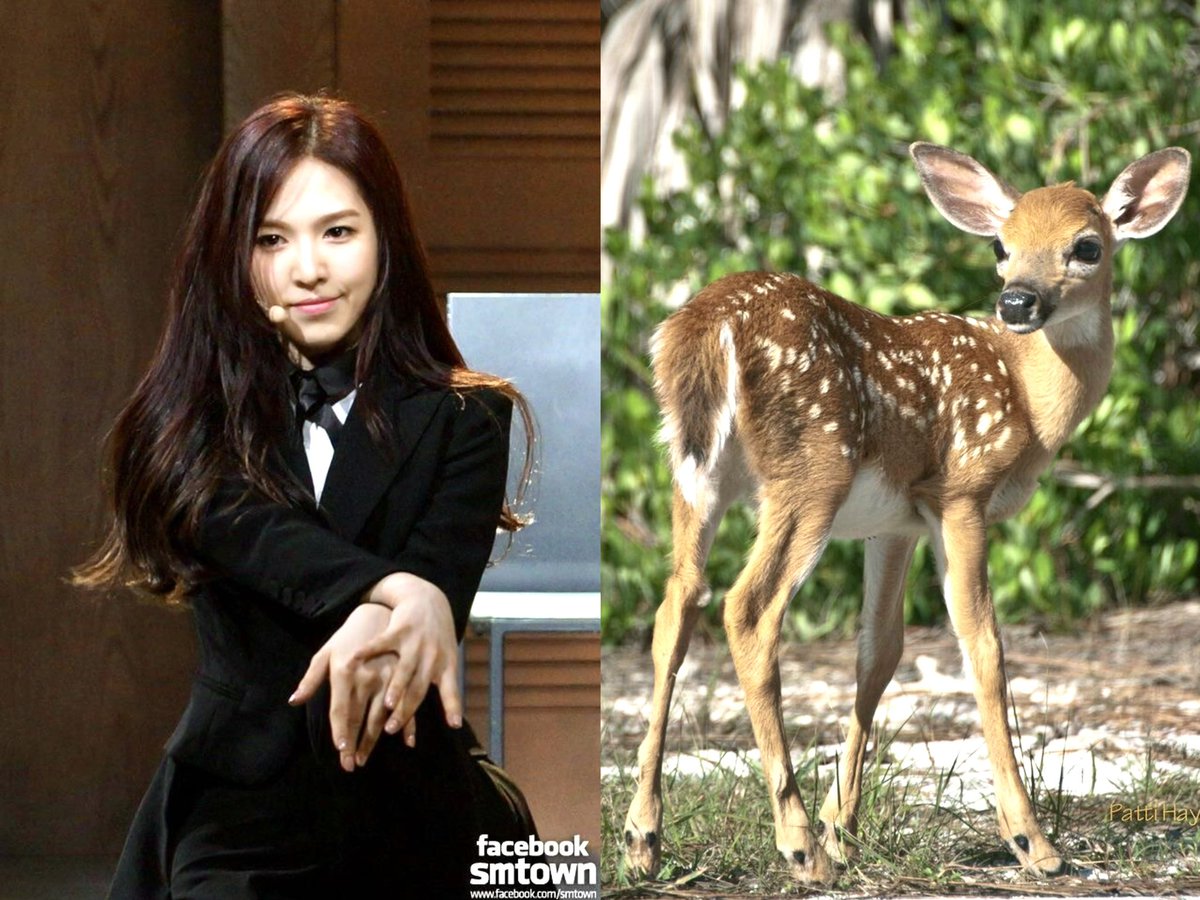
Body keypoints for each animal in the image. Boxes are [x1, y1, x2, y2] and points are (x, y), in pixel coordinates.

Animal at [621, 142, 1190, 883]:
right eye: (1002, 245)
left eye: (1086, 246)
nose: (1018, 300)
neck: (1029, 399)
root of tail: (706, 325)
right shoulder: (961, 492)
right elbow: (983, 647)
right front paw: (1032, 842)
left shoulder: (894, 524)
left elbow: (879, 653)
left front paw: (844, 827)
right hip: (812, 470)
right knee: (748, 609)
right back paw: (797, 846)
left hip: (696, 475)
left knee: (676, 604)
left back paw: (644, 838)